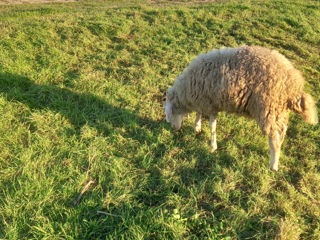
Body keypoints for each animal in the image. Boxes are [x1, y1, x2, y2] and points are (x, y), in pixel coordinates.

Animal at [165, 46, 318, 172]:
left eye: (169, 113)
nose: (174, 129)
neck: (188, 90)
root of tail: (294, 85)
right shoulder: (205, 101)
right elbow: (199, 113)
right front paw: (197, 127)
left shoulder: (210, 102)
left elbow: (212, 126)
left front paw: (213, 146)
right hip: (279, 111)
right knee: (281, 135)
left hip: (269, 108)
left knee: (274, 138)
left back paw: (273, 165)